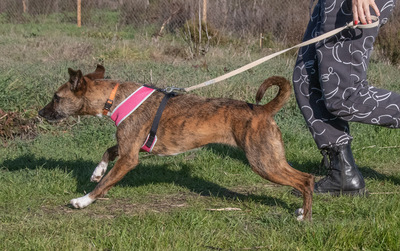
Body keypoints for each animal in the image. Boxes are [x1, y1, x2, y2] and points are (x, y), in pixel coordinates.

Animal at [40, 65, 316, 221]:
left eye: (56, 98)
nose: (41, 113)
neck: (114, 97)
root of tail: (261, 109)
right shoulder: (129, 146)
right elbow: (108, 151)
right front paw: (97, 171)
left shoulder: (129, 158)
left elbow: (105, 183)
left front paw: (84, 200)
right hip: (272, 158)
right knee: (307, 178)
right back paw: (302, 211)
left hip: (263, 162)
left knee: (305, 180)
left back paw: (305, 217)